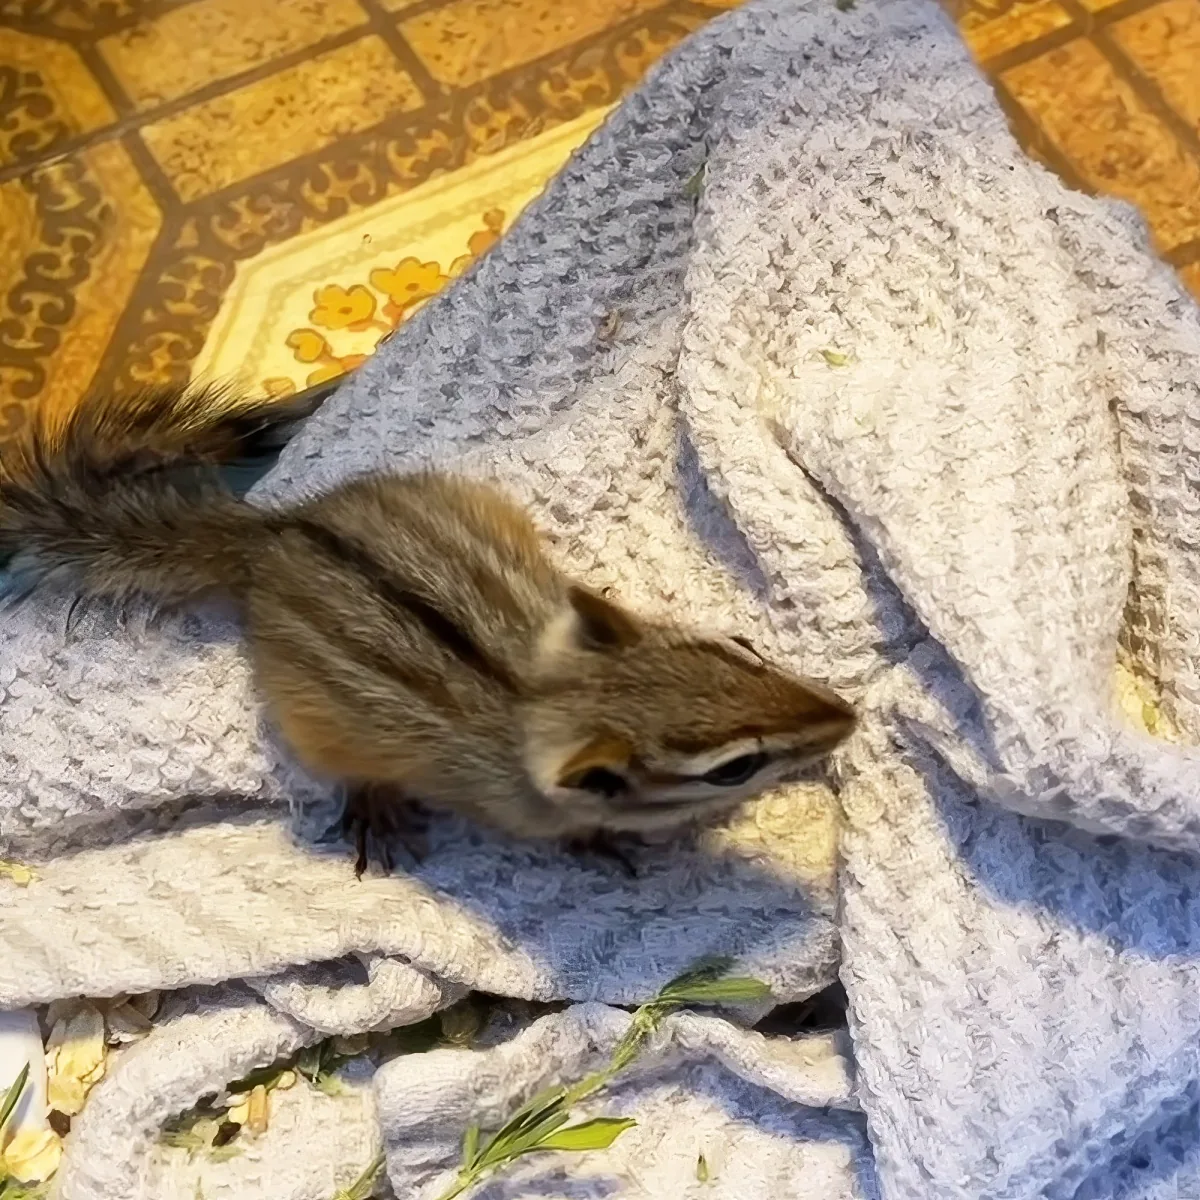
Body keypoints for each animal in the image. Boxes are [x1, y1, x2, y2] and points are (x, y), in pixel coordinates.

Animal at [0, 384, 856, 875]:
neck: (538, 692)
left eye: (739, 648)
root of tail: (273, 536)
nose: (846, 718)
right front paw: (604, 844)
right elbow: (575, 836)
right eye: (734, 768)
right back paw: (372, 806)